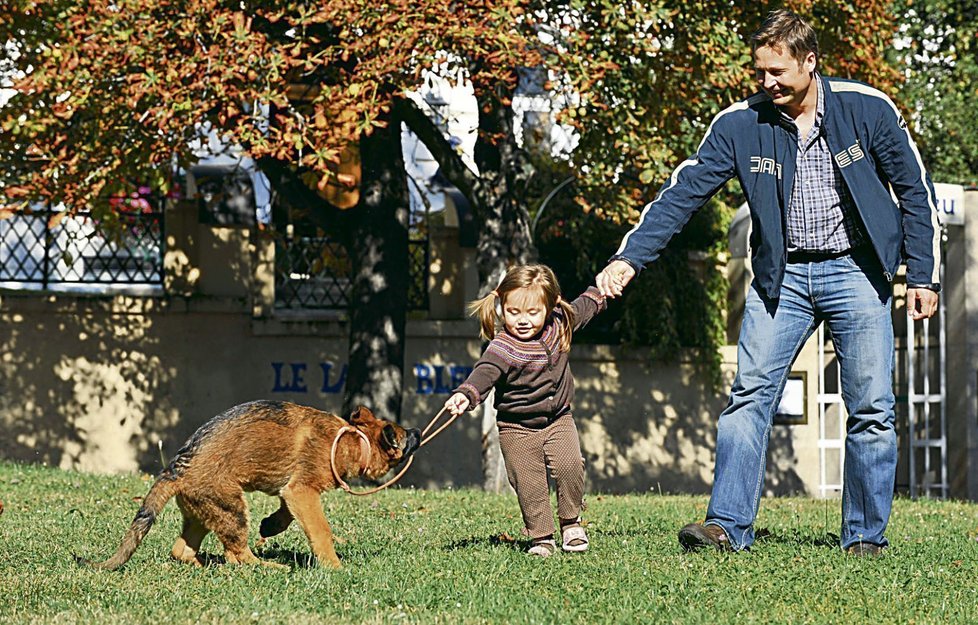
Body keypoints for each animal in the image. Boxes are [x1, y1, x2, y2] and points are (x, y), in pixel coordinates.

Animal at [82, 400, 418, 572]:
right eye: (403, 436)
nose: (417, 430)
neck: (352, 439)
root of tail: (177, 470)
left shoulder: (292, 492)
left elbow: (285, 514)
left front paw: (270, 525)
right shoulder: (302, 490)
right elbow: (320, 530)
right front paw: (333, 565)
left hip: (205, 511)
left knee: (182, 550)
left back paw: (205, 563)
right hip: (232, 508)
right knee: (237, 555)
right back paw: (268, 567)